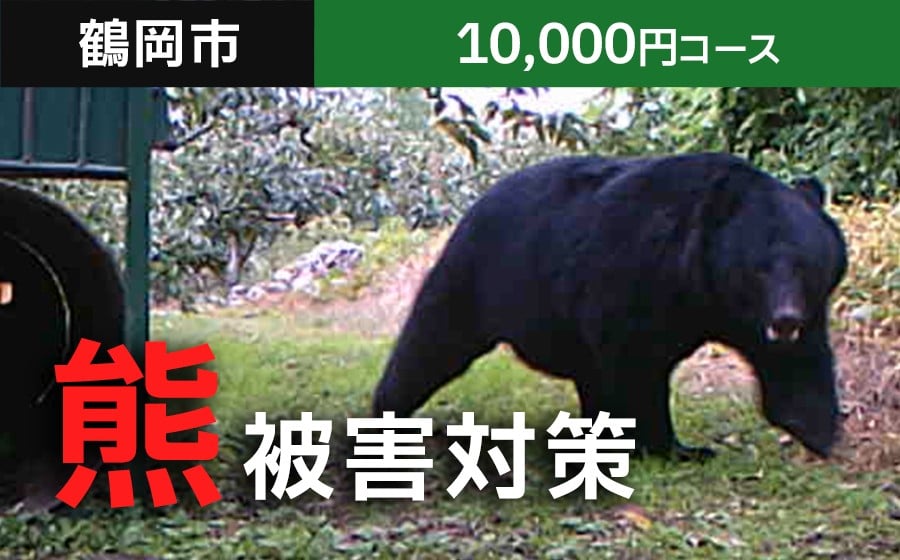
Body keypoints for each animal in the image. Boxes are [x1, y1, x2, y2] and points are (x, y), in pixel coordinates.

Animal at [371, 152, 848, 460]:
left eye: (807, 266)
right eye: (760, 269)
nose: (785, 319)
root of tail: (478, 201)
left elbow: (799, 361)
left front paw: (817, 429)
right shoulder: (631, 277)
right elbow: (636, 365)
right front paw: (663, 446)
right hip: (480, 275)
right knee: (433, 340)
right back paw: (387, 412)